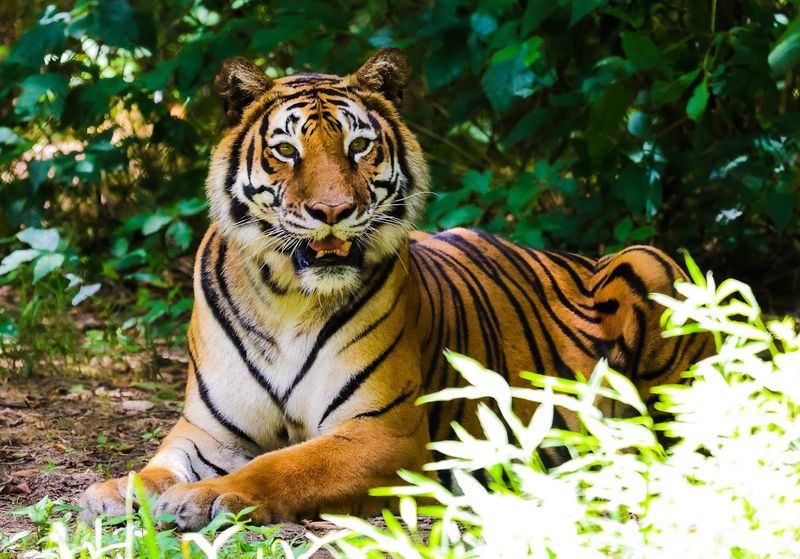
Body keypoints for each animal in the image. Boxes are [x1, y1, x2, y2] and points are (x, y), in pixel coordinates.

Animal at [79, 49, 711, 530]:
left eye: (358, 147)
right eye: (286, 151)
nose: (332, 211)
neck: (286, 297)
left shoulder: (384, 433)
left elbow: (285, 466)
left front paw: (203, 498)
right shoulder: (210, 430)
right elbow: (159, 464)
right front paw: (114, 490)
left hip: (651, 263)